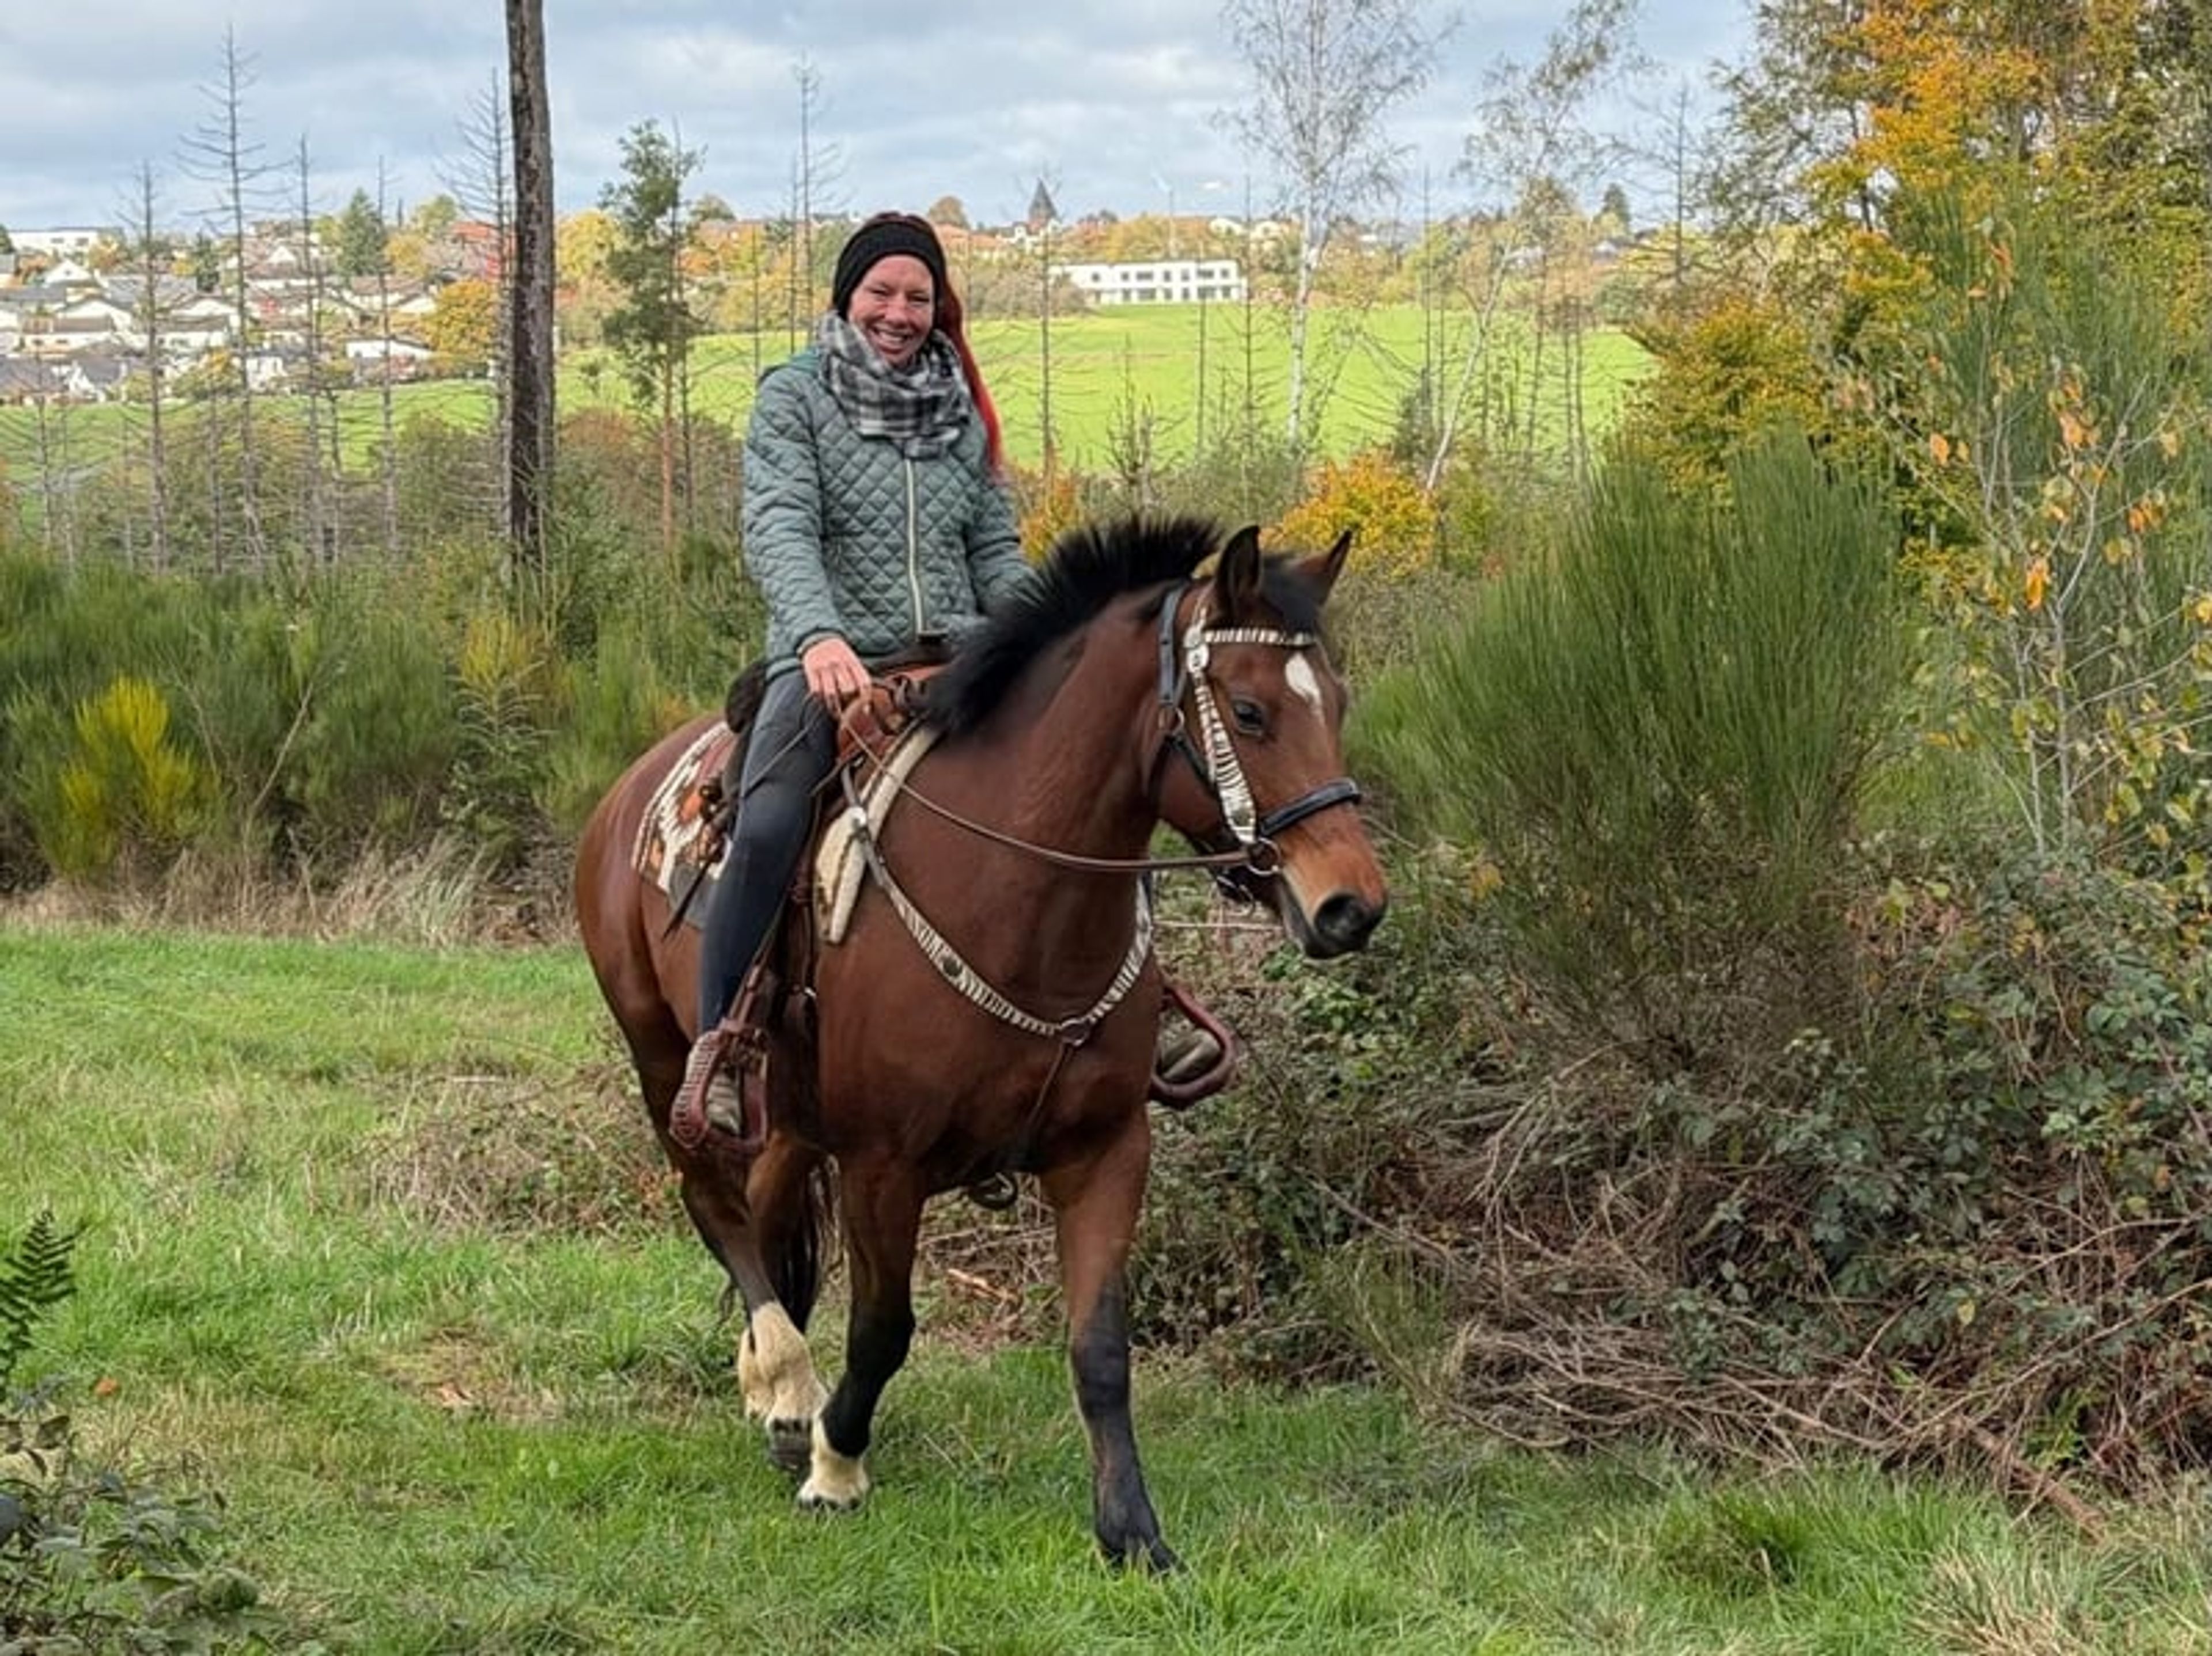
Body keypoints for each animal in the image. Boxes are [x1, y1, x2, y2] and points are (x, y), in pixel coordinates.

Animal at [573, 515, 1388, 1570]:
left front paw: (1132, 1531)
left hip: (791, 1111)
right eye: (1248, 712)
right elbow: (884, 1327)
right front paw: (838, 1465)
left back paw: (778, 1390)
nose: (1351, 905)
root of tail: (628, 788)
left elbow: (1101, 1346)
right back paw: (788, 1383)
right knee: (715, 1204)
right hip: (662, 1059)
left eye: (1336, 701)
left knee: (767, 1206)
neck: (1017, 898)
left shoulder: (1106, 1151)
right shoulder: (885, 1163)